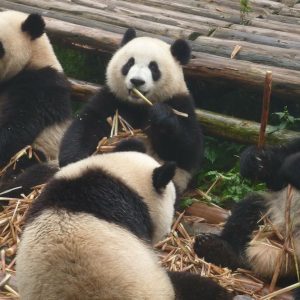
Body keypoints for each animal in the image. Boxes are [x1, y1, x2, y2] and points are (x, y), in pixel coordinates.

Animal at [58, 28, 203, 195]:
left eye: (154, 67)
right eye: (129, 63)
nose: (137, 81)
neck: (138, 105)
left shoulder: (180, 103)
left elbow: (187, 150)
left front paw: (161, 115)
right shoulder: (113, 99)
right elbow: (86, 125)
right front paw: (74, 160)